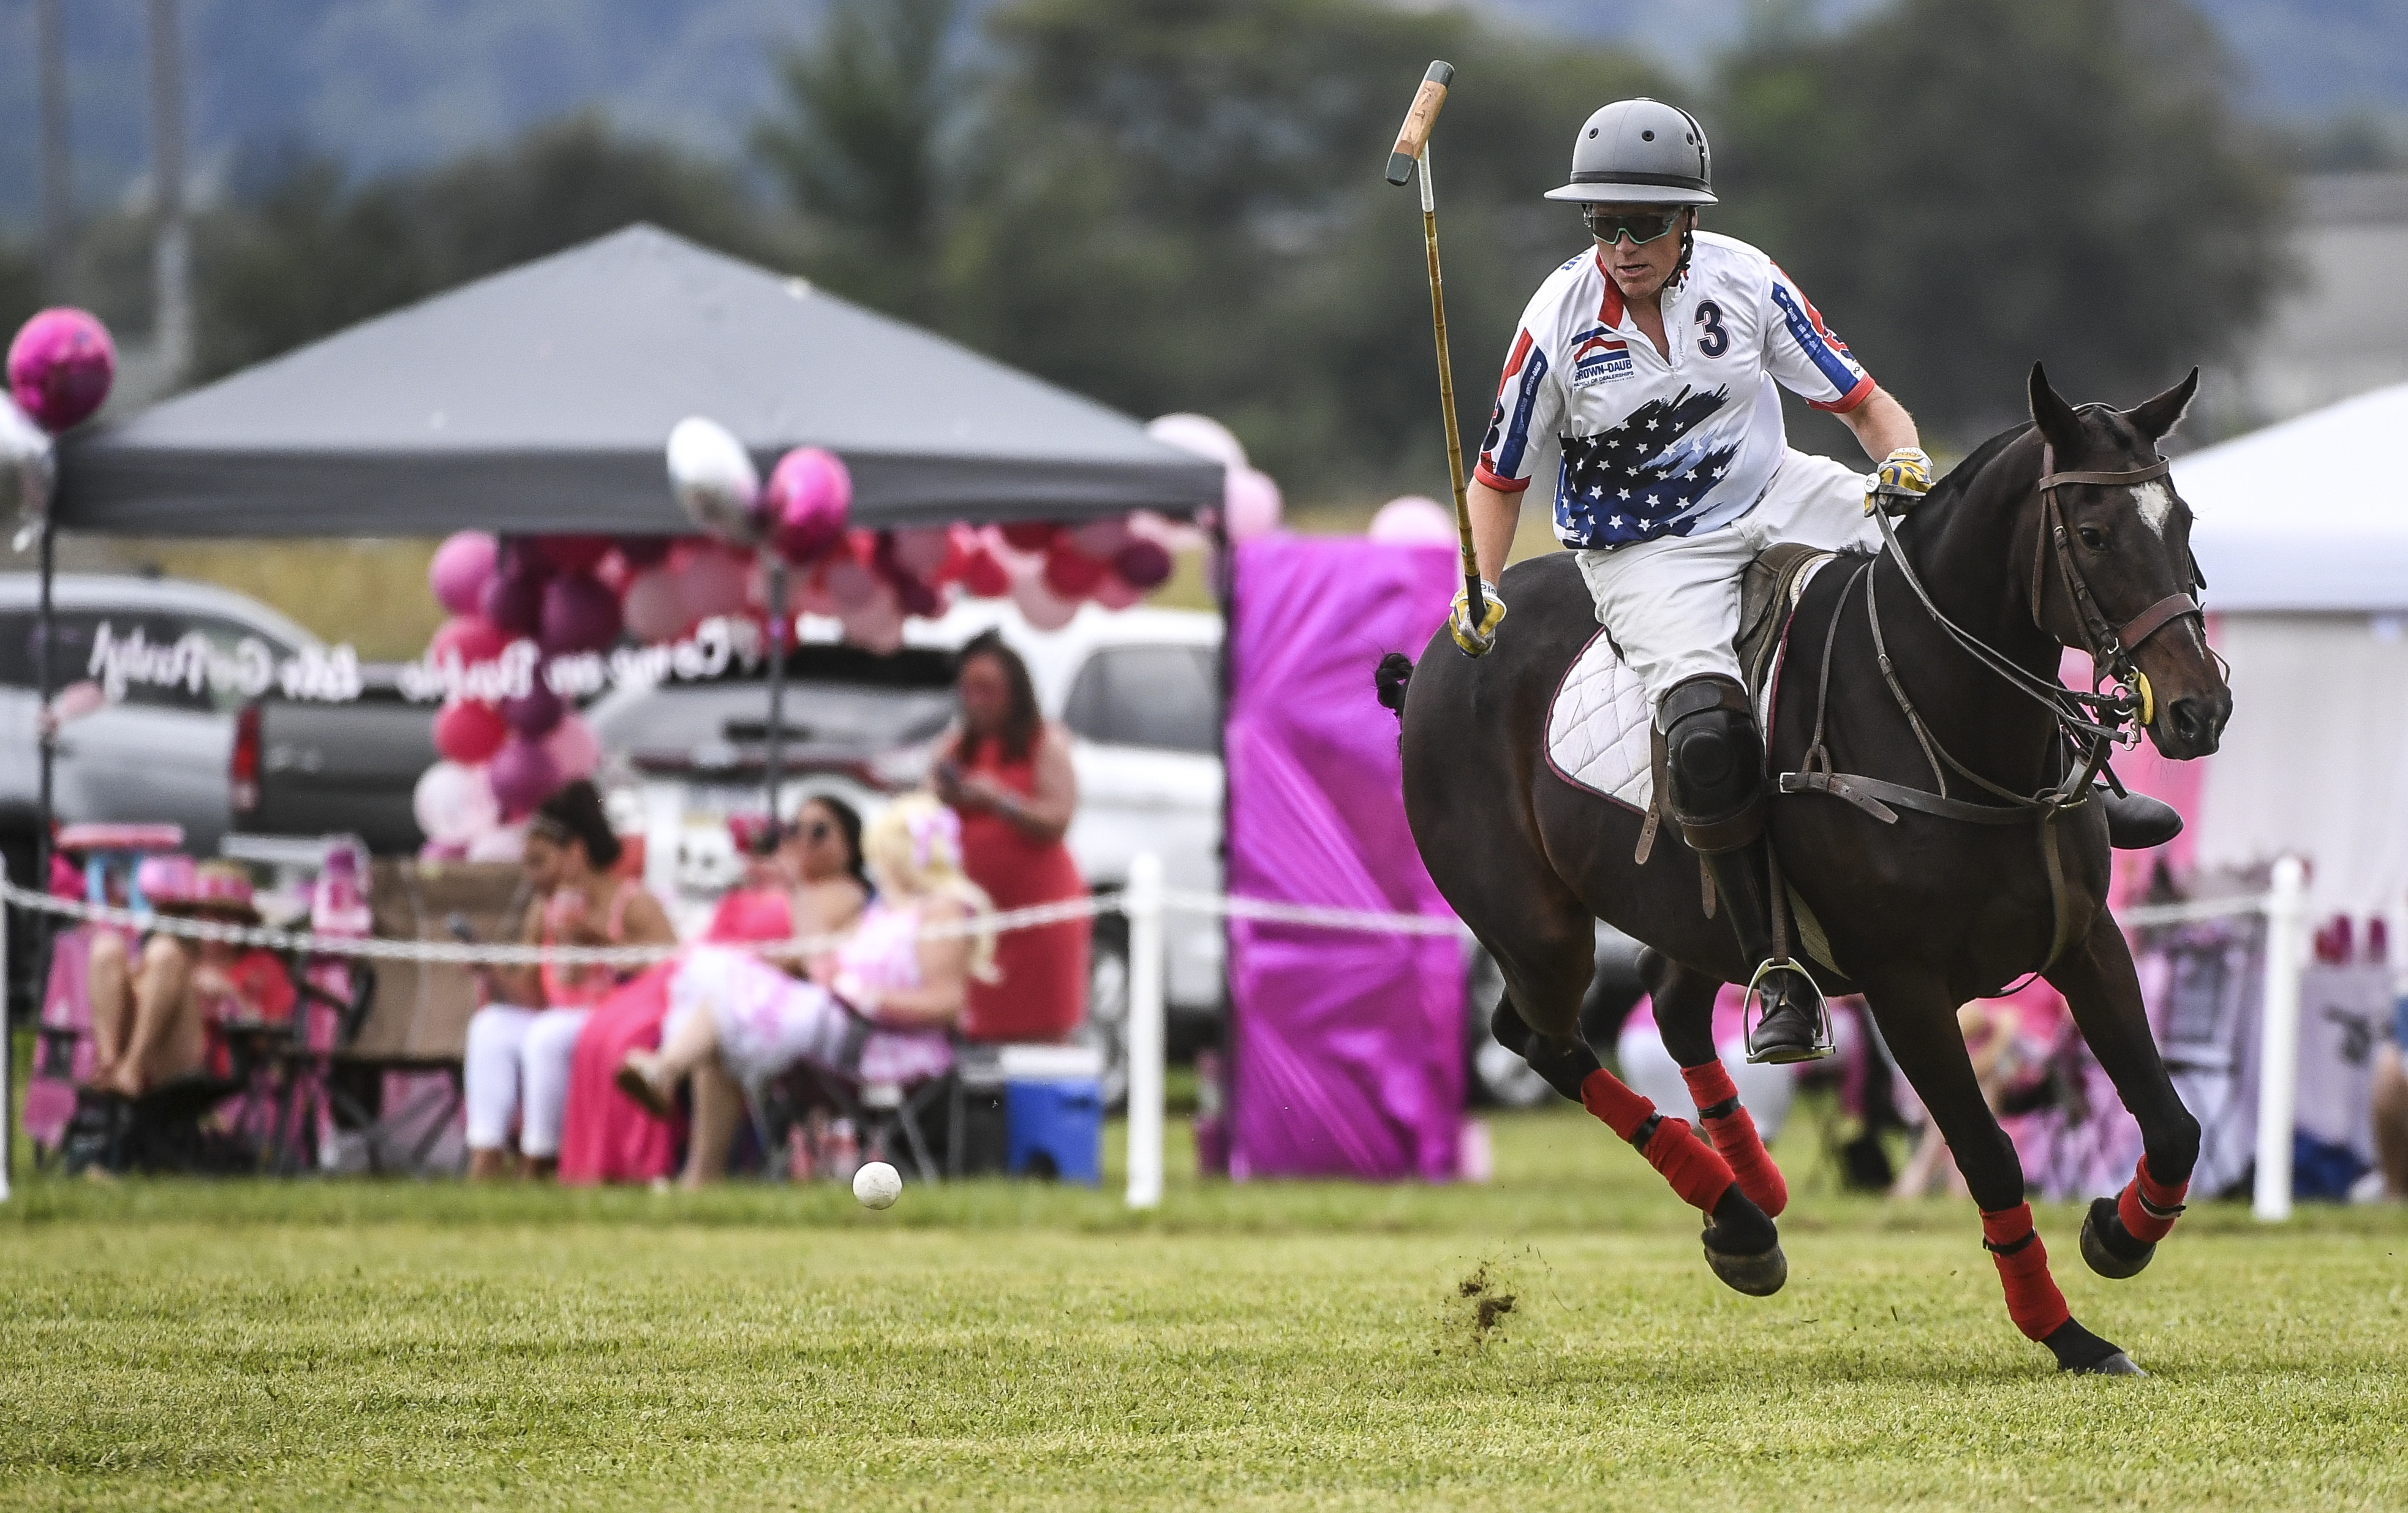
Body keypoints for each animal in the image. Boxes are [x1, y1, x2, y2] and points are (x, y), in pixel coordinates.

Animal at [1387, 366, 2225, 1368]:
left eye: (2181, 519)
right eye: (2093, 535)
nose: (2199, 709)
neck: (1948, 719)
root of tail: (1437, 657)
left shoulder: (2084, 938)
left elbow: (2173, 1122)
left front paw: (2117, 1232)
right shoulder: (1905, 985)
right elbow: (1988, 1153)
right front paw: (2064, 1330)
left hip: (1685, 912)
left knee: (1668, 1000)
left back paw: (1749, 1182)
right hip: (1535, 927)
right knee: (1540, 1033)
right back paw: (1737, 1211)